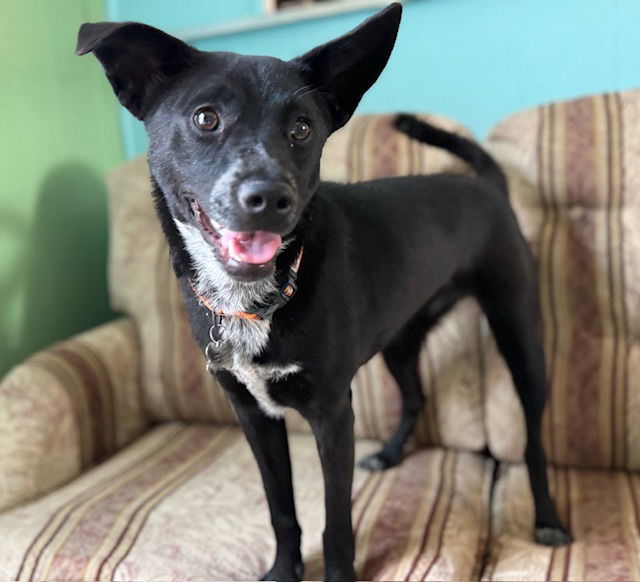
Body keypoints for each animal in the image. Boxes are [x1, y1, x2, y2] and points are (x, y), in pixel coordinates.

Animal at [76, 3, 568, 580]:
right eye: (205, 118)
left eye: (302, 128)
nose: (270, 198)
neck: (256, 301)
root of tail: (488, 185)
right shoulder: (254, 417)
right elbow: (281, 507)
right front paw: (283, 570)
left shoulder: (333, 414)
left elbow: (337, 521)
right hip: (401, 337)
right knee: (416, 395)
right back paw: (390, 454)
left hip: (519, 334)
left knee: (533, 438)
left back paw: (548, 518)